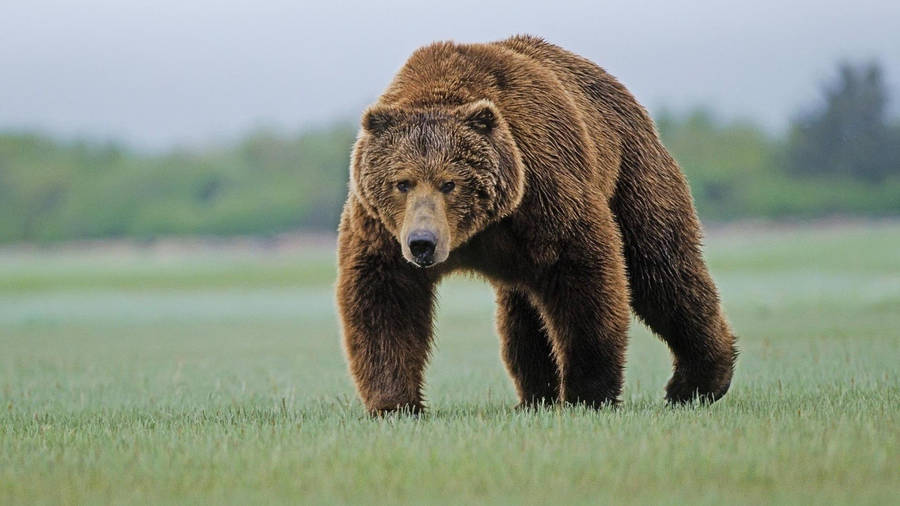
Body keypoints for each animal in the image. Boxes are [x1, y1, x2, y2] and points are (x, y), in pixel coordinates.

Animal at [336, 35, 737, 415]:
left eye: (449, 183)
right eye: (402, 182)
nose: (423, 242)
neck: (478, 230)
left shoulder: (544, 191)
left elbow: (585, 279)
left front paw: (587, 393)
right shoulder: (382, 229)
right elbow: (385, 299)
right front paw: (394, 403)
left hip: (632, 172)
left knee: (662, 269)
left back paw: (697, 382)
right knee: (523, 315)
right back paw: (535, 395)